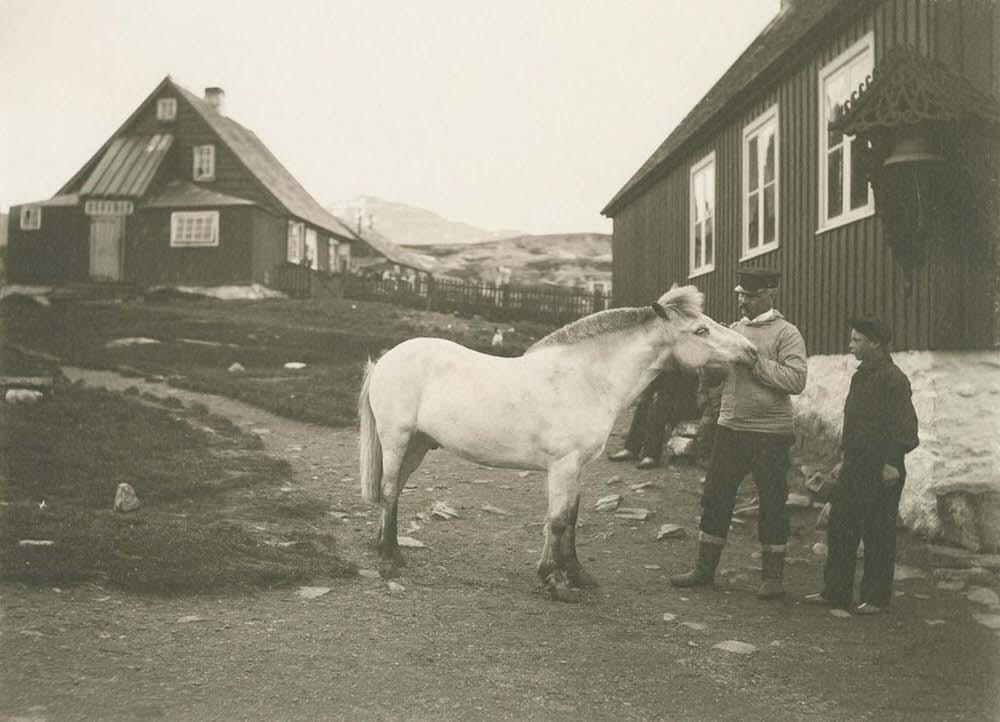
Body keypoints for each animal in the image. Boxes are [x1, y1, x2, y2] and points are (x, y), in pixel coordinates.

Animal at [356, 284, 752, 600]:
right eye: (700, 329)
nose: (751, 351)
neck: (586, 379)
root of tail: (385, 359)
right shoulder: (563, 464)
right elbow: (558, 520)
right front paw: (554, 582)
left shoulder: (579, 467)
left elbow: (572, 518)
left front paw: (576, 574)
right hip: (397, 440)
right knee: (389, 490)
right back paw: (390, 559)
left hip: (419, 445)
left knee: (394, 491)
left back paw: (384, 547)